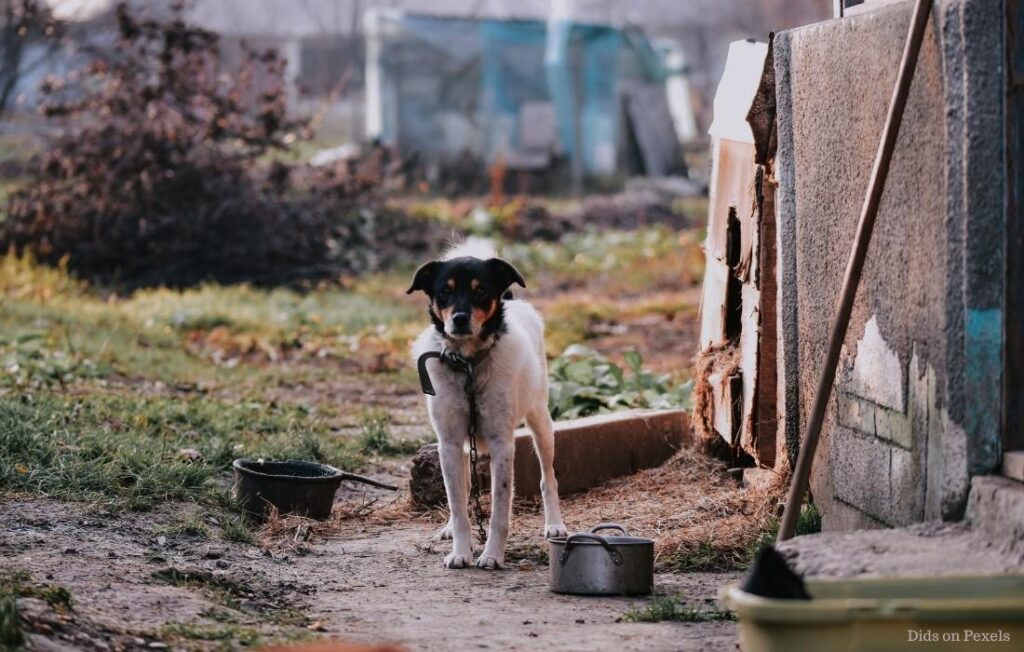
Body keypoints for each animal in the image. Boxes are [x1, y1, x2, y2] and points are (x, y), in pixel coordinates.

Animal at [407, 240, 569, 569]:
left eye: (481, 291)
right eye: (444, 291)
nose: (459, 318)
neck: (468, 364)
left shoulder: (501, 444)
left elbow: (499, 511)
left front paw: (492, 555)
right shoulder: (449, 443)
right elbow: (458, 505)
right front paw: (460, 551)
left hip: (541, 421)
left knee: (548, 479)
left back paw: (554, 524)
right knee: (463, 491)